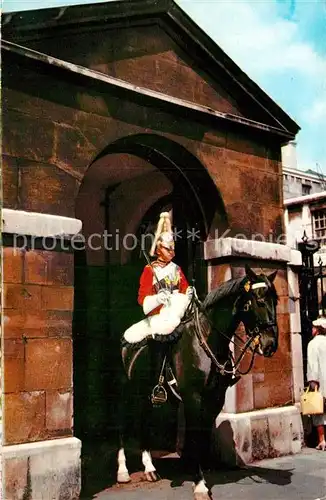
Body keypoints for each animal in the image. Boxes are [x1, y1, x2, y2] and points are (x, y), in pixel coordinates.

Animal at [116, 264, 278, 498]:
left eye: (276, 300)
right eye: (258, 300)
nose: (270, 345)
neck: (207, 341)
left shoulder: (215, 399)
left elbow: (203, 436)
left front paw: (201, 475)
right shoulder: (193, 398)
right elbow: (194, 437)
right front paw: (199, 483)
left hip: (146, 396)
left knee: (143, 422)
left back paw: (149, 468)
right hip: (126, 394)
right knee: (122, 424)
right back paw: (123, 471)